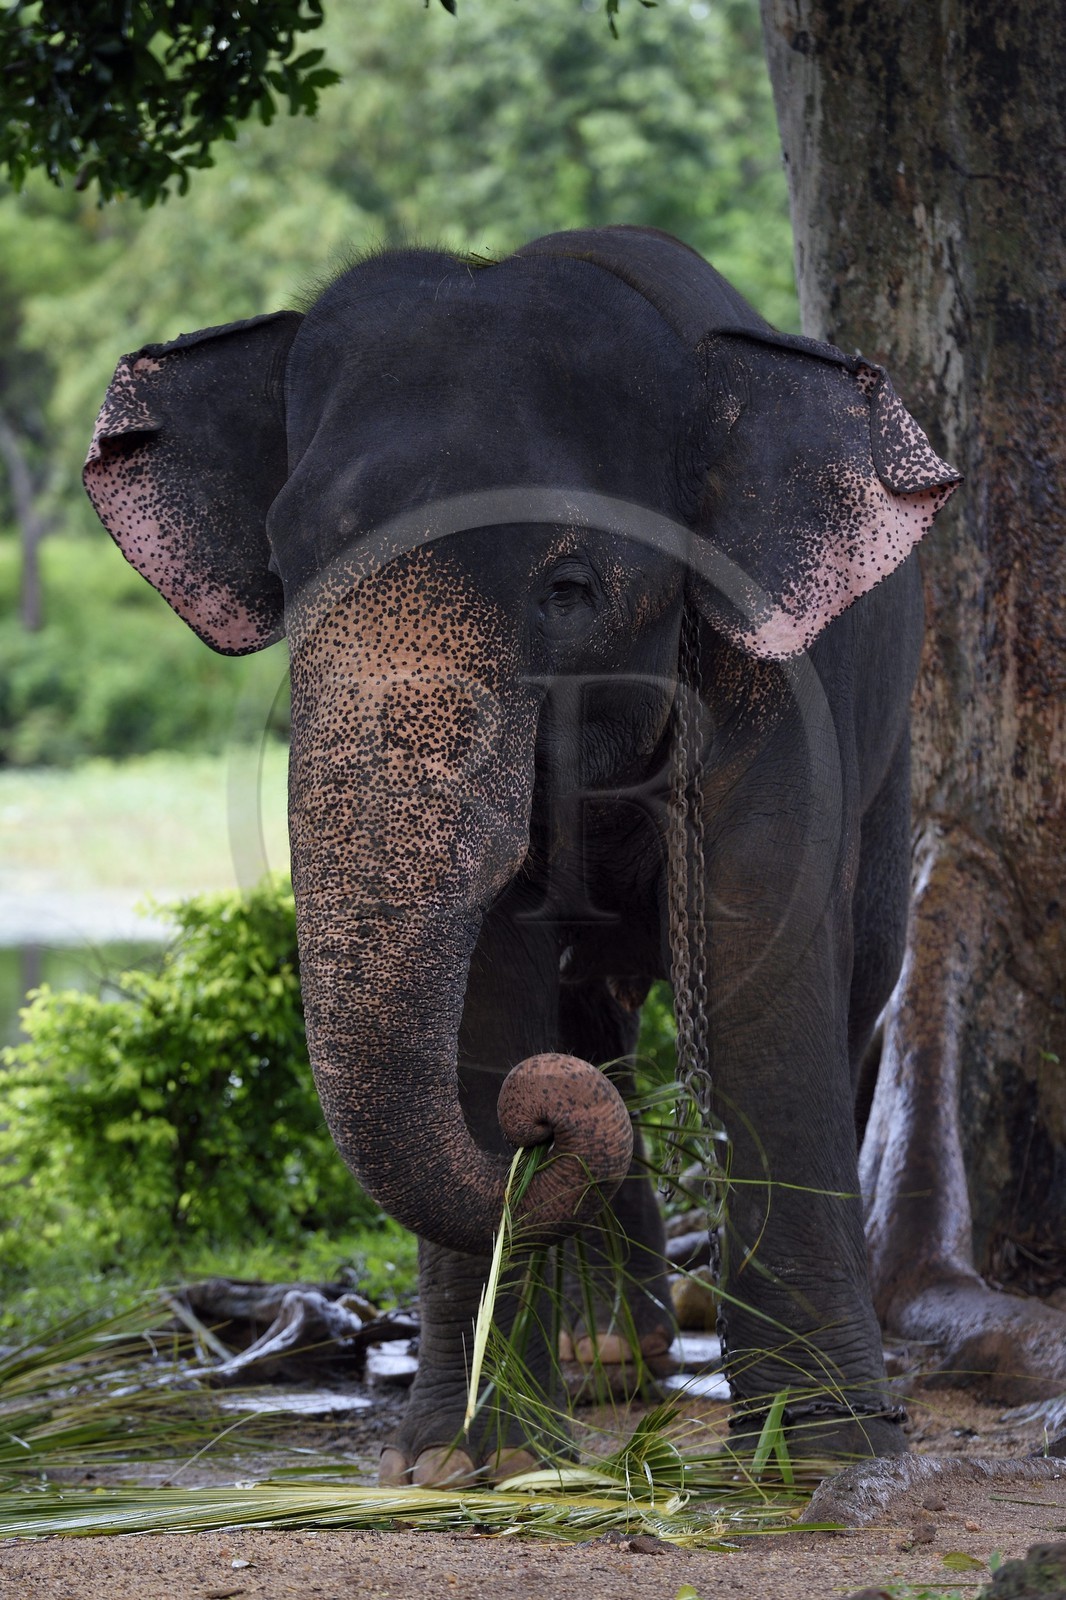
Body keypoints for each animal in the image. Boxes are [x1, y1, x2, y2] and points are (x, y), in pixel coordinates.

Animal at [84, 225, 959, 1484]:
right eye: (284, 569)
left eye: (569, 587)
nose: (537, 1125)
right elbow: (491, 970)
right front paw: (459, 1465)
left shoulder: (778, 673)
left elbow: (760, 926)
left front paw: (828, 1462)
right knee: (592, 1018)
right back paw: (604, 1358)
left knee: (856, 979)